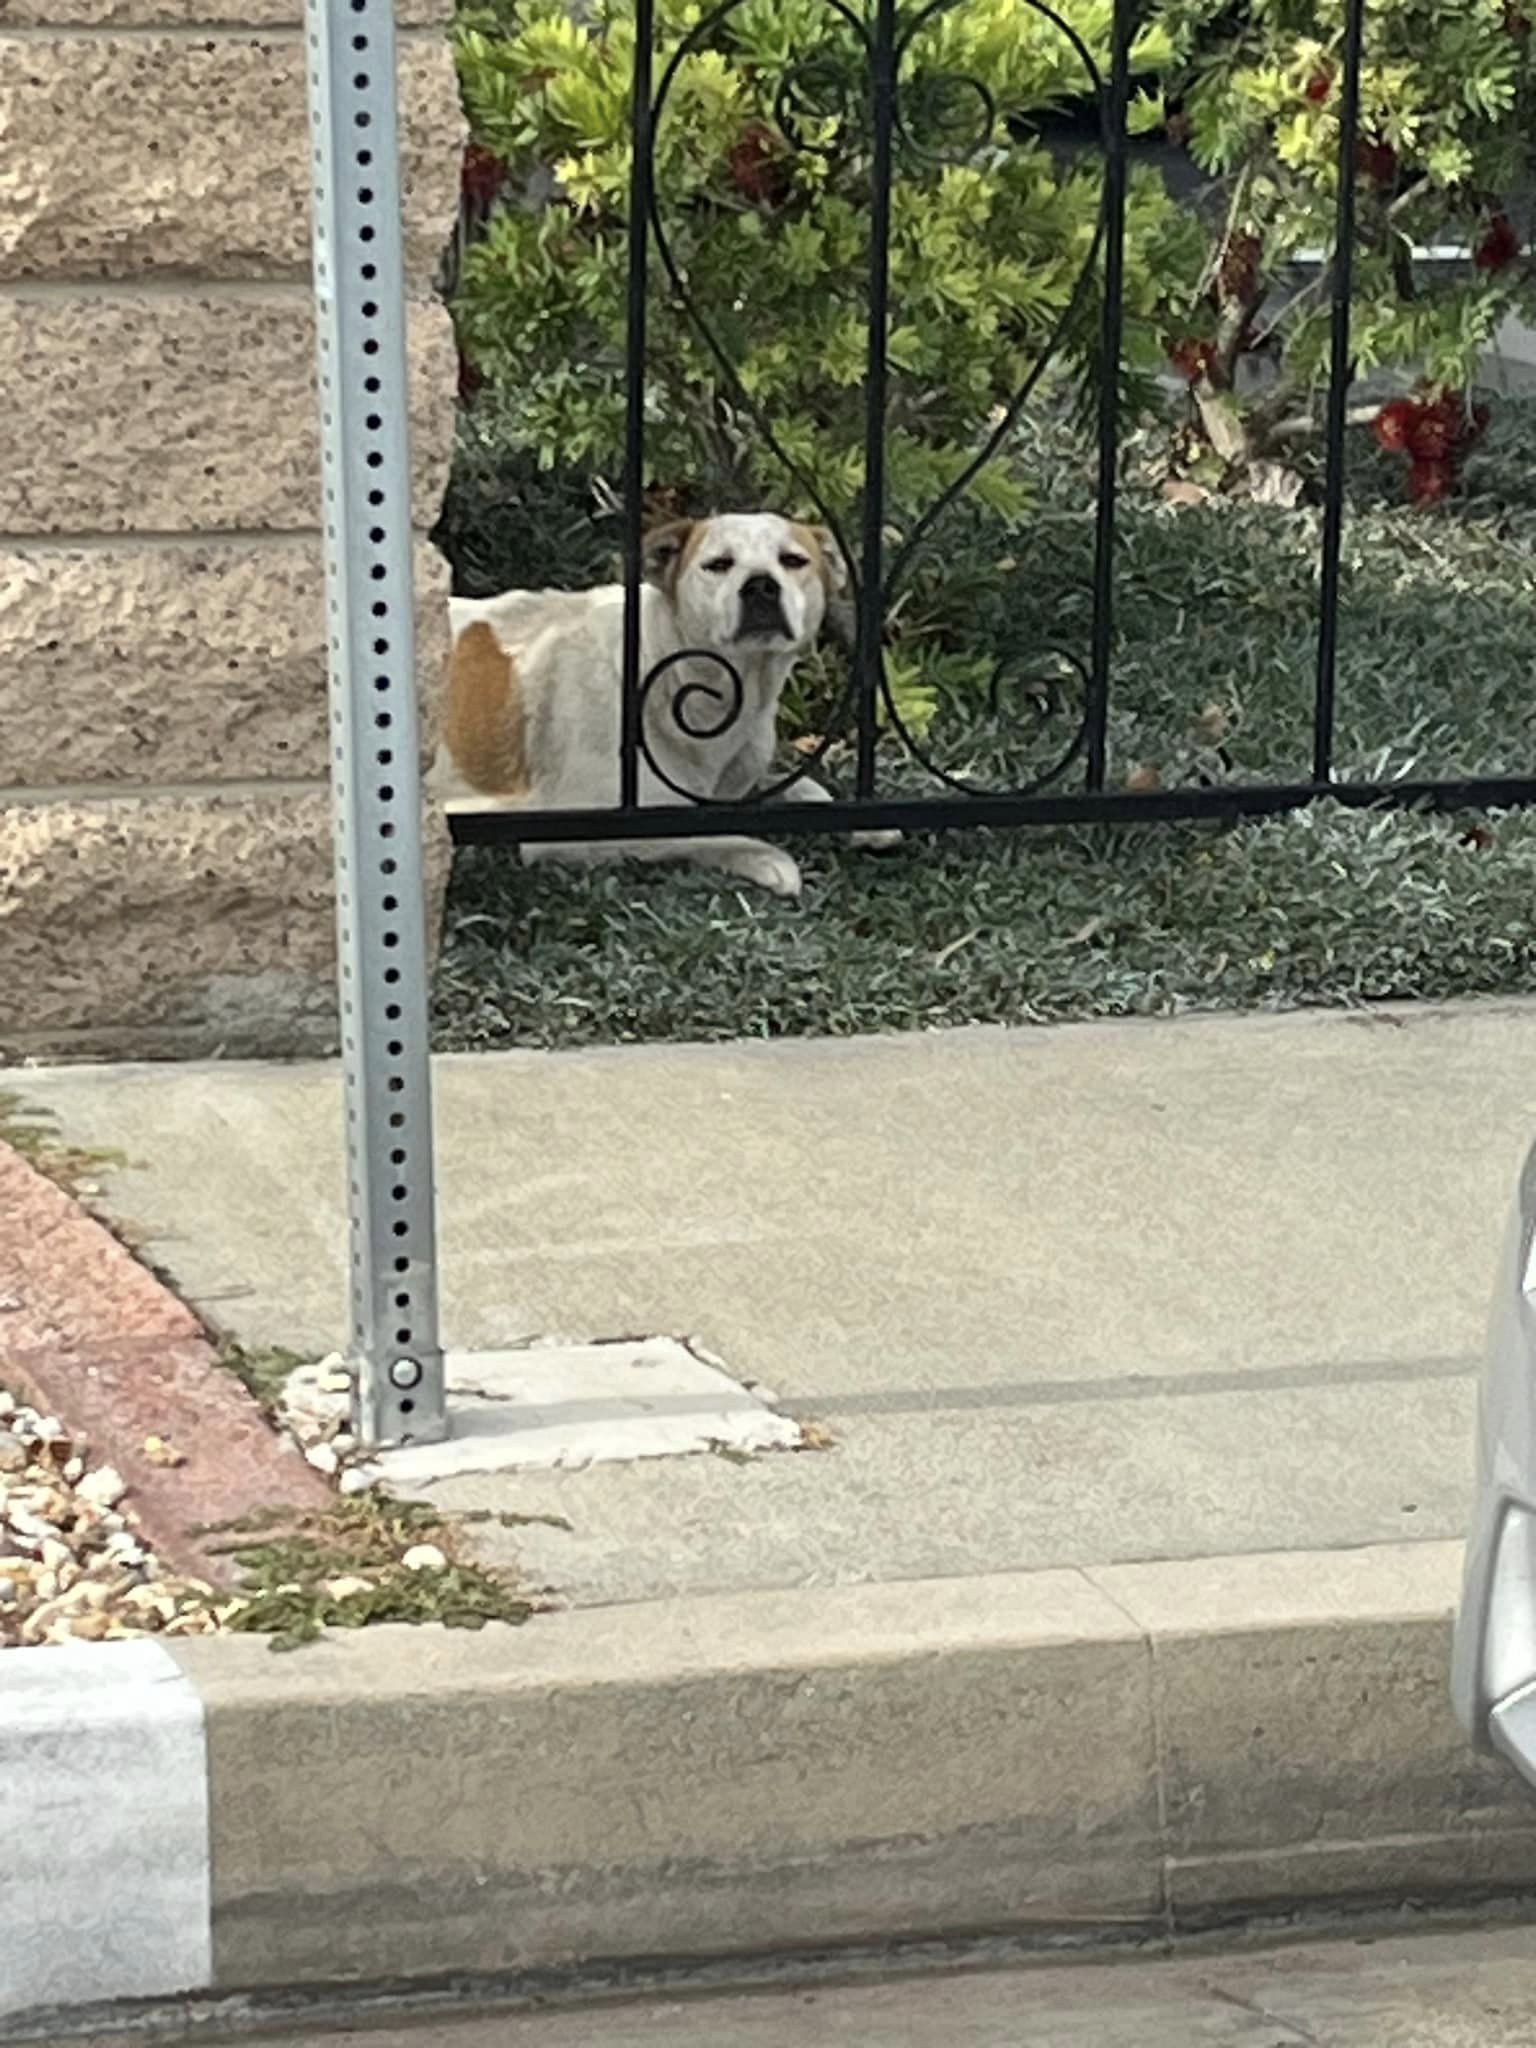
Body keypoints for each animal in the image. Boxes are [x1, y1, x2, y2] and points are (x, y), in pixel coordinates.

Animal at [434, 512, 888, 897]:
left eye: (793, 561)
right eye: (718, 564)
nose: (761, 585)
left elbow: (805, 787)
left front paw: (867, 825)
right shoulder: (573, 828)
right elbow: (692, 829)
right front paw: (768, 857)